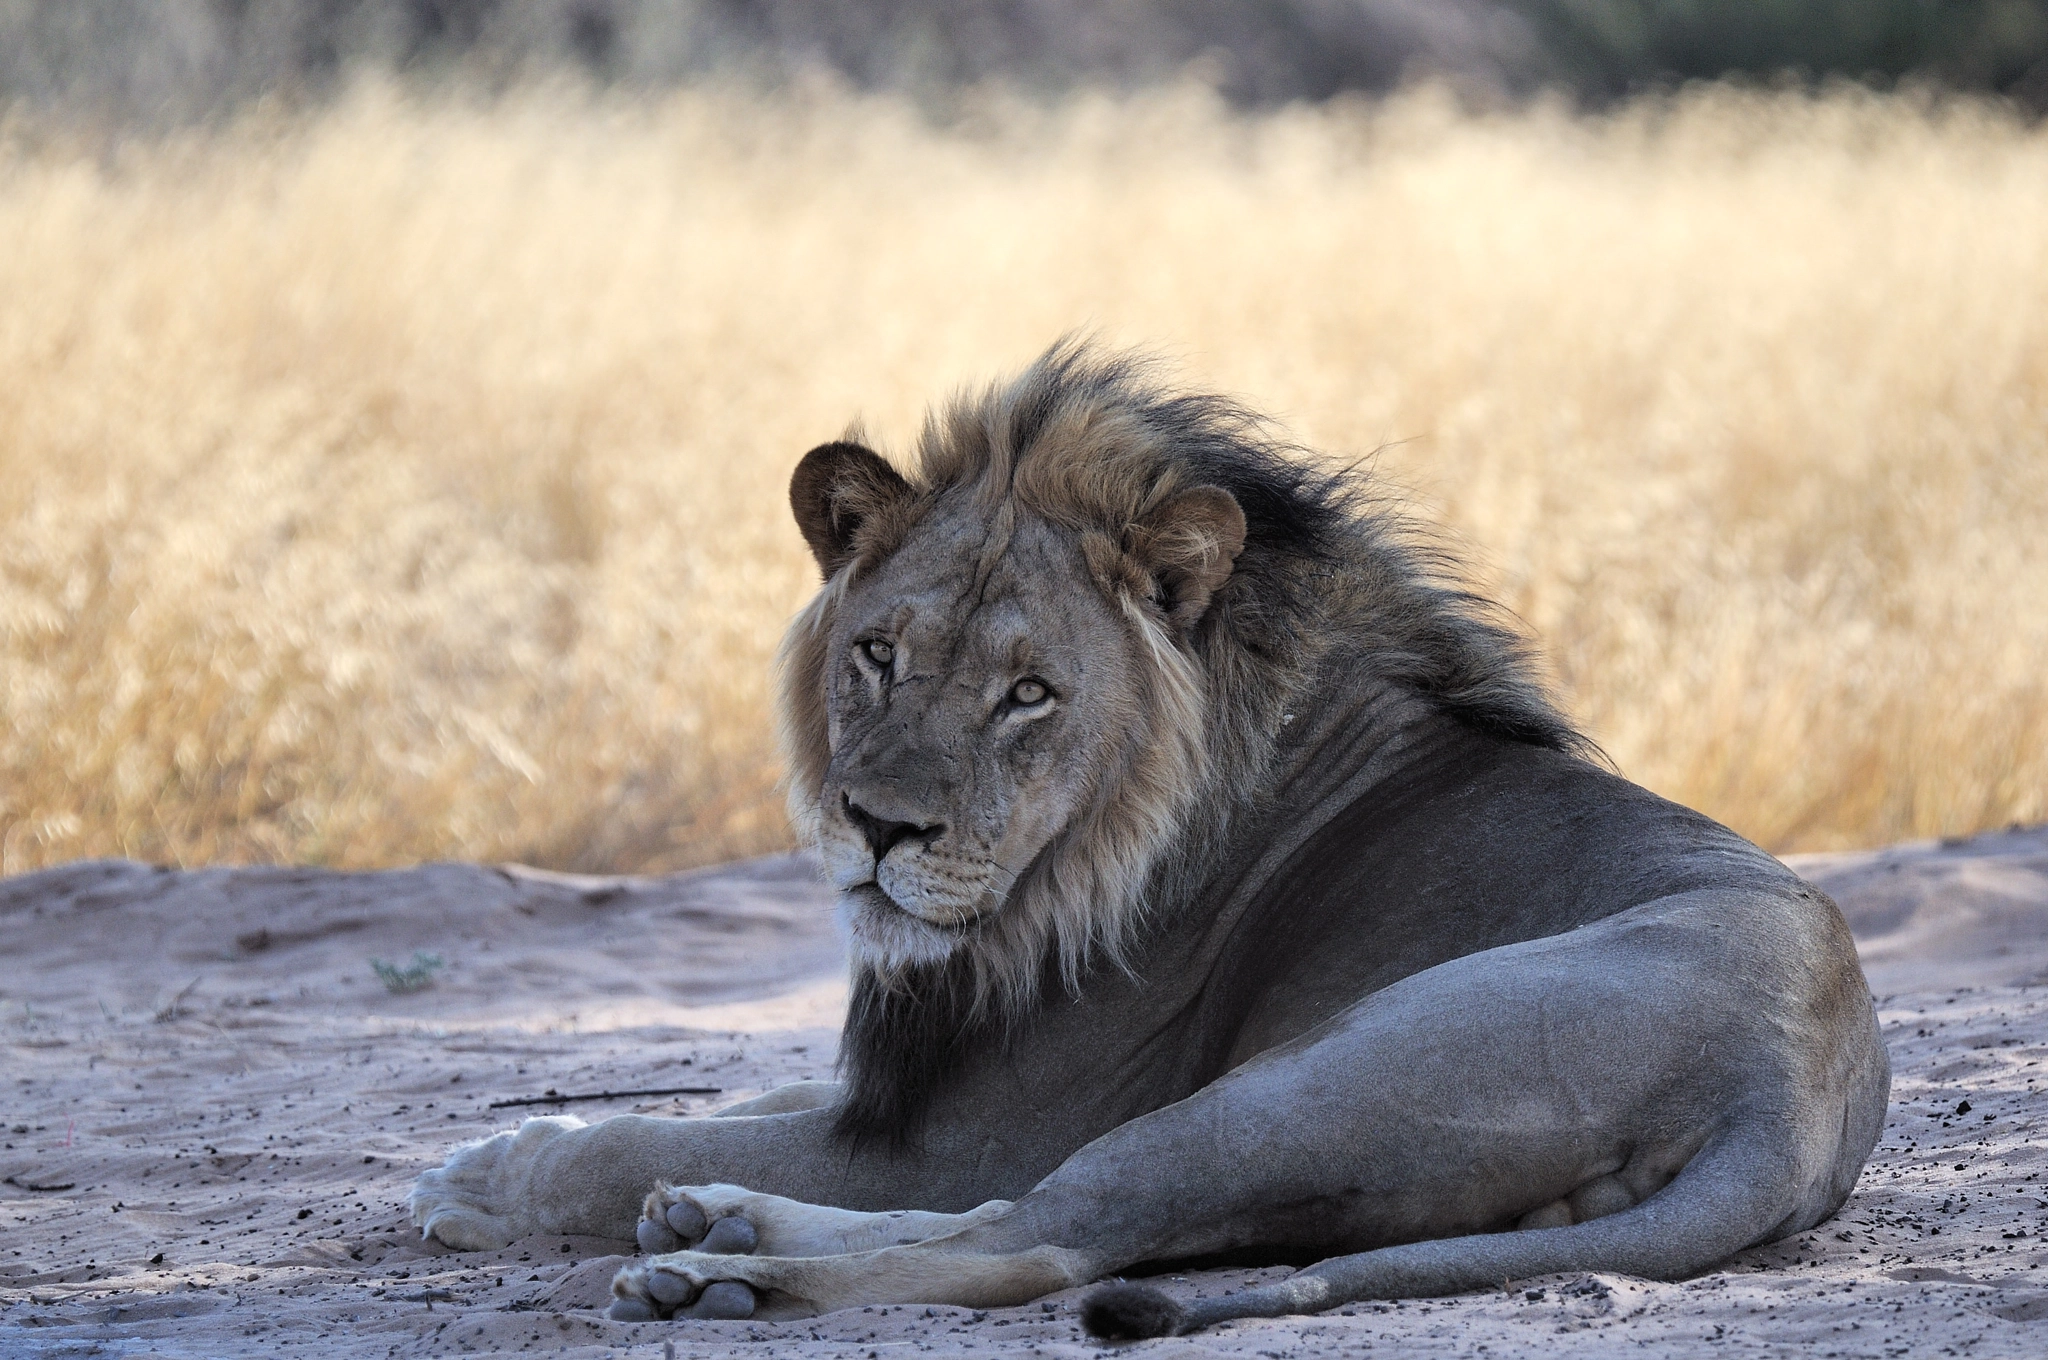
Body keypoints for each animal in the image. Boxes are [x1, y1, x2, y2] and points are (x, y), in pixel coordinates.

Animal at [408, 340, 1889, 1338]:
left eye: (1028, 694)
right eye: (878, 655)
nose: (878, 827)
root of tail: (1787, 1092)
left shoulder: (967, 1129)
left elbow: (641, 1140)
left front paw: (491, 1171)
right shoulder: (902, 1091)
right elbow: (730, 1106)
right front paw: (572, 1155)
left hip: (1297, 1082)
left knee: (1041, 1245)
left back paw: (713, 1274)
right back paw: (717, 1221)